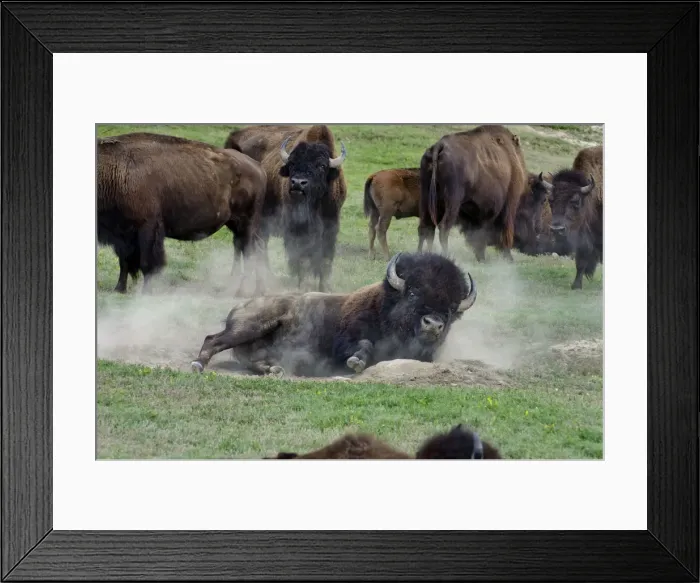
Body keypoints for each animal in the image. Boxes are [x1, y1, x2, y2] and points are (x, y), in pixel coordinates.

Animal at [97, 132, 267, 294]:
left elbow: (147, 263)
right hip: (235, 224)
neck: (115, 170)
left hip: (247, 222)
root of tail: (258, 167)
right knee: (245, 248)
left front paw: (146, 292)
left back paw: (242, 290)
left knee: (249, 251)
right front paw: (119, 289)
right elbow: (124, 261)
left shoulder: (147, 227)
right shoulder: (122, 233)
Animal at [190, 251, 477, 377]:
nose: (433, 324)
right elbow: (363, 344)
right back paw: (198, 365)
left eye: (452, 307)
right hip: (250, 326)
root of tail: (241, 305)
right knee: (213, 339)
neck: (384, 306)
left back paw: (274, 369)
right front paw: (356, 362)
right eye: (414, 292)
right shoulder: (344, 340)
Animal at [224, 124, 348, 292]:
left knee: (256, 245)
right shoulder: (296, 229)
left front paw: (324, 288)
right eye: (292, 163)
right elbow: (301, 257)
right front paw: (302, 286)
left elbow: (325, 259)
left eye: (321, 166)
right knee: (242, 245)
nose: (298, 183)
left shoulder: (331, 226)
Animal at [418, 125, 529, 263]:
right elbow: (501, 230)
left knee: (425, 227)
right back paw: (447, 256)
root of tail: (439, 146)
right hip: (453, 201)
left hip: (425, 196)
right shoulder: (508, 205)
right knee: (444, 227)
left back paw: (419, 254)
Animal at [541, 145, 603, 289]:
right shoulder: (583, 238)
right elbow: (581, 262)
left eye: (575, 201)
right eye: (550, 200)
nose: (557, 230)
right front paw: (576, 286)